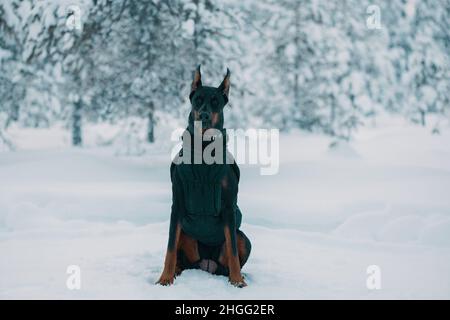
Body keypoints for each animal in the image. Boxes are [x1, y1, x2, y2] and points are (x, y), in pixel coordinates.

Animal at [156, 65, 251, 288]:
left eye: (216, 102)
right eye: (197, 99)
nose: (204, 116)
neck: (203, 148)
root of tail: (206, 265)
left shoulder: (228, 207)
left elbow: (233, 250)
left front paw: (237, 281)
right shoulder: (177, 204)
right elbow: (170, 247)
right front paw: (164, 278)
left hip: (243, 237)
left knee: (233, 252)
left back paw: (238, 275)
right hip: (186, 234)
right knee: (180, 257)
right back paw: (176, 271)